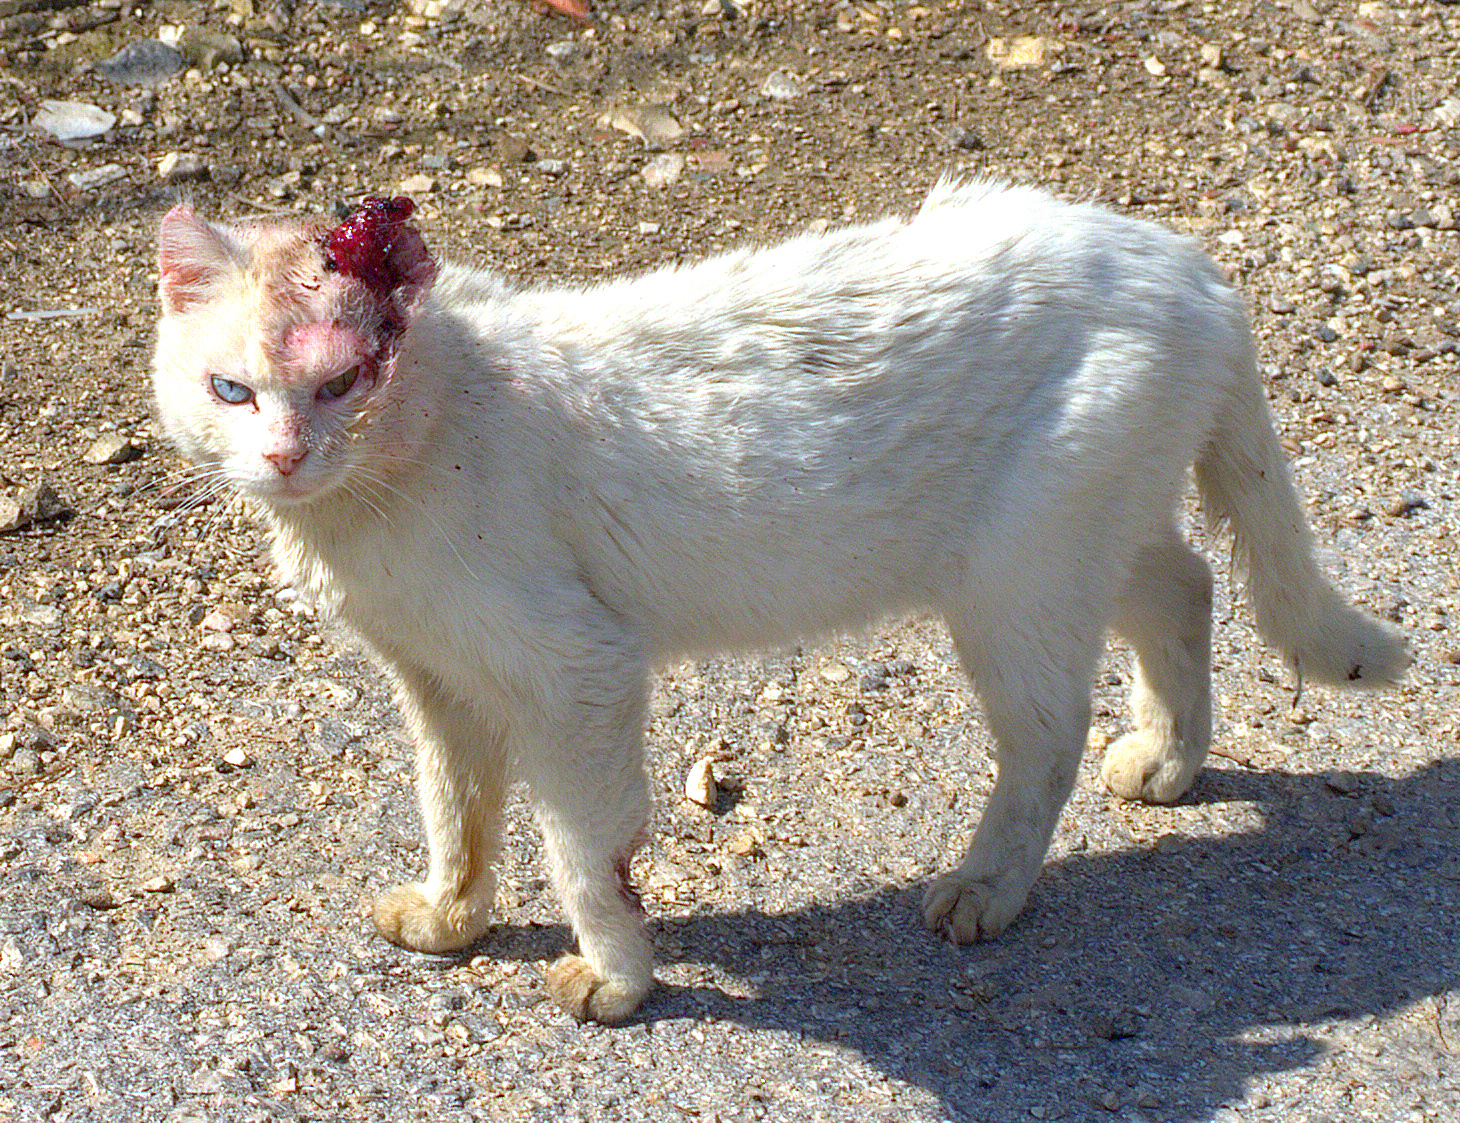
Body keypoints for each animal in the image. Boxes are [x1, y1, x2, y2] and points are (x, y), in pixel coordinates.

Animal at [154, 179, 1407, 1022]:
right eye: (232, 390)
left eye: (341, 383)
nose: (284, 455)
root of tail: (1180, 261)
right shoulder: (438, 682)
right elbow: (454, 814)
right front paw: (452, 918)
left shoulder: (577, 670)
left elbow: (581, 852)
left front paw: (615, 976)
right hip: (1077, 542)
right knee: (1185, 587)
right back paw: (1169, 761)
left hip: (1016, 582)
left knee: (1048, 739)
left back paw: (983, 888)